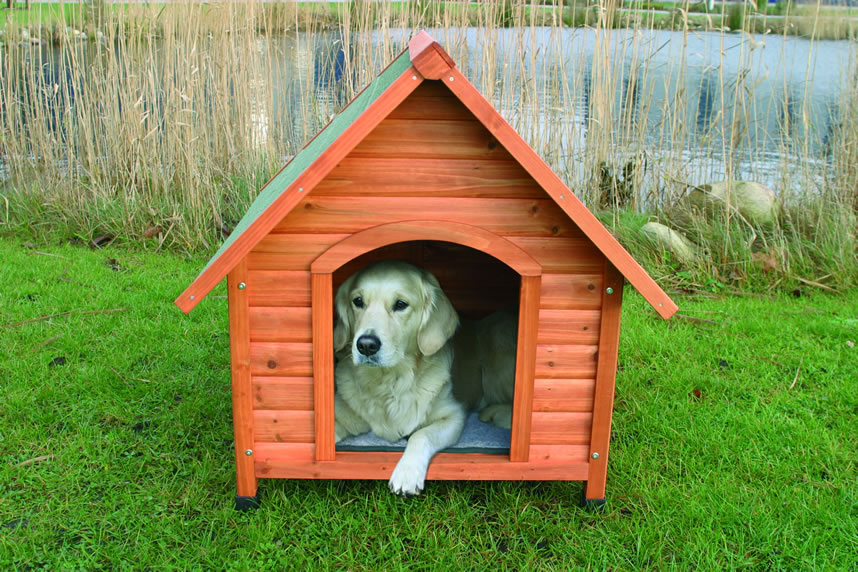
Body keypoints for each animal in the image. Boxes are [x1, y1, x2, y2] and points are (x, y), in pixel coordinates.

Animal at [334, 262, 516, 494]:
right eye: (358, 301)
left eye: (400, 304)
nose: (366, 345)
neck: (389, 381)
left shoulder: (453, 416)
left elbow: (420, 435)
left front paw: (406, 473)